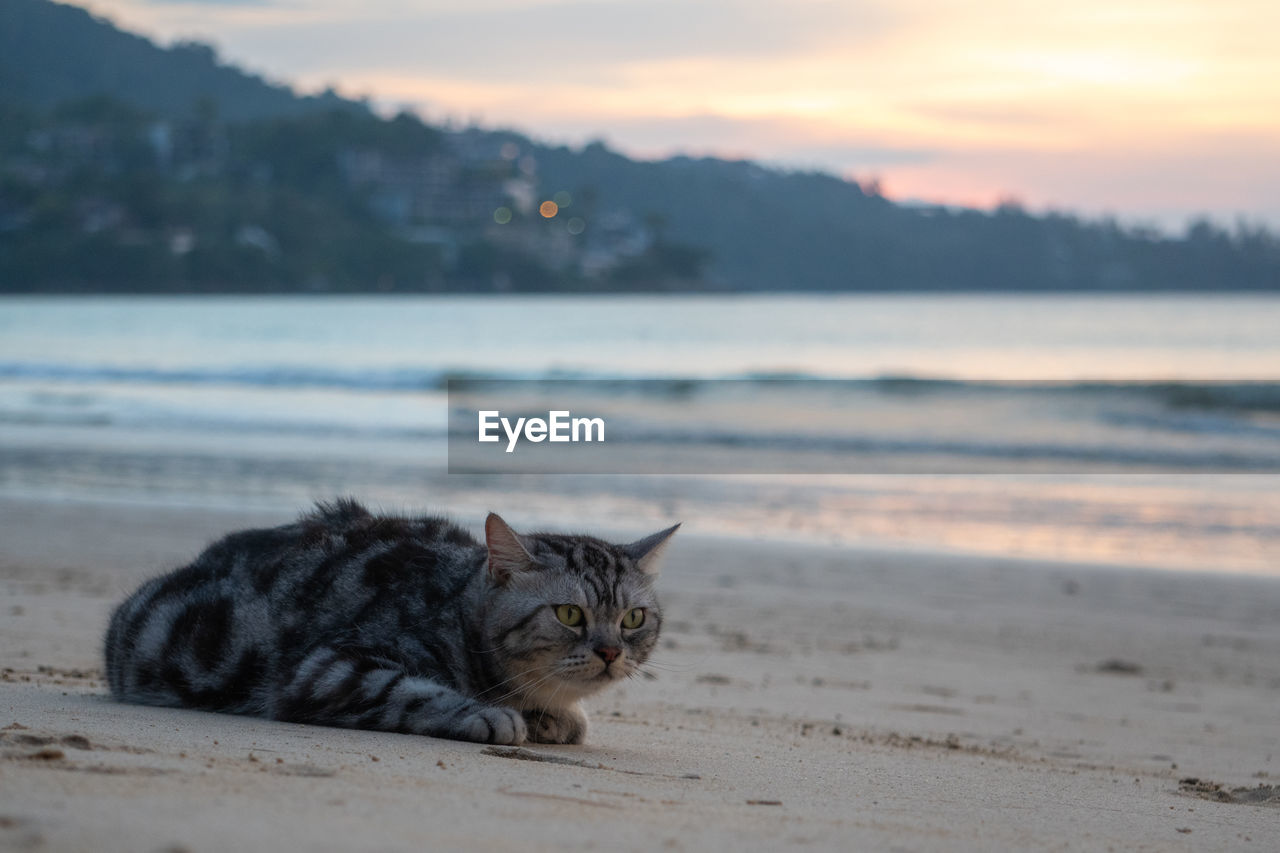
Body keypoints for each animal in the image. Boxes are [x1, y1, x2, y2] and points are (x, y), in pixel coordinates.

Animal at [104, 499, 680, 742]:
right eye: (569, 613)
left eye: (632, 618)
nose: (611, 651)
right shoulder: (326, 668)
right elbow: (413, 690)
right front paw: (489, 714)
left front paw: (553, 717)